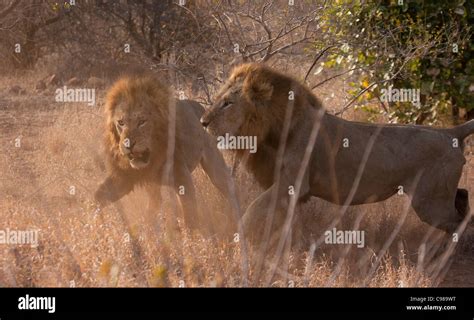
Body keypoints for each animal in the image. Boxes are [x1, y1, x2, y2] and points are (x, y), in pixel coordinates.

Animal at [94, 75, 239, 230]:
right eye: (121, 122)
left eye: (142, 121)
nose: (128, 145)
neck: (153, 157)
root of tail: (200, 107)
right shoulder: (123, 178)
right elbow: (97, 197)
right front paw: (97, 225)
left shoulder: (182, 178)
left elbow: (190, 217)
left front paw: (192, 236)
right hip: (153, 186)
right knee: (154, 205)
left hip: (214, 165)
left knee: (230, 188)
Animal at [201, 62, 474, 242]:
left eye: (227, 103)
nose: (203, 122)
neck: (273, 130)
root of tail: (450, 132)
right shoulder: (291, 189)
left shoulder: (294, 183)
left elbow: (255, 208)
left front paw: (241, 237)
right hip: (437, 196)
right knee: (462, 197)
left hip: (429, 201)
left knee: (458, 222)